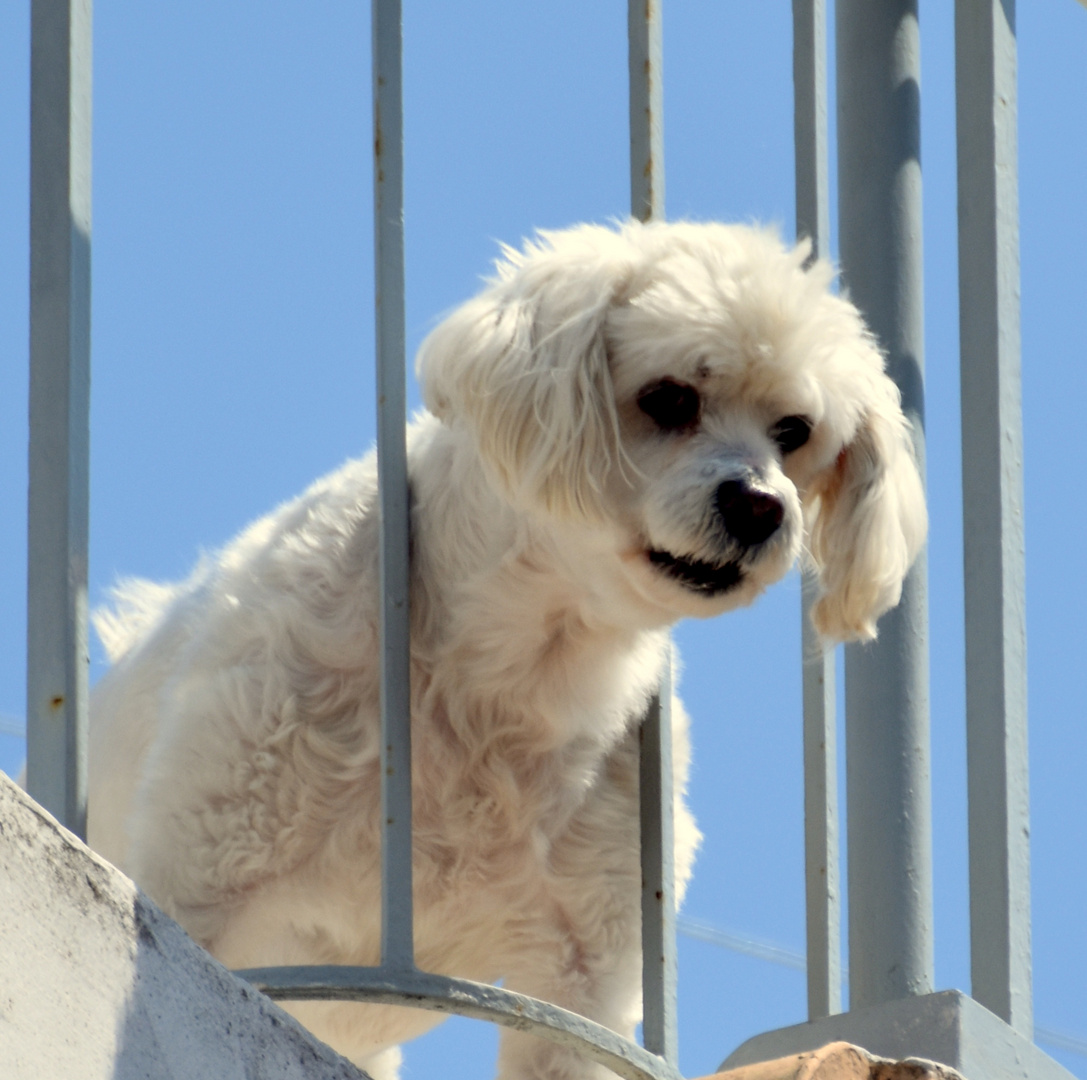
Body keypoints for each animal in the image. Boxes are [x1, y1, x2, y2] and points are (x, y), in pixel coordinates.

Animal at [91, 220, 926, 1077]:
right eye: (668, 397)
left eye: (794, 433)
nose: (759, 505)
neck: (511, 671)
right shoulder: (202, 882)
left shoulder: (581, 974)